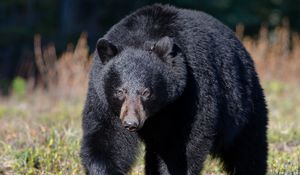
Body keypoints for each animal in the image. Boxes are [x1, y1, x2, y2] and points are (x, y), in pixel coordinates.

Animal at [81, 3, 268, 174]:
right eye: (120, 91)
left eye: (146, 92)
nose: (131, 123)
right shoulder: (103, 98)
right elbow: (107, 137)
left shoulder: (191, 92)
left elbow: (185, 143)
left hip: (243, 103)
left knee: (248, 146)